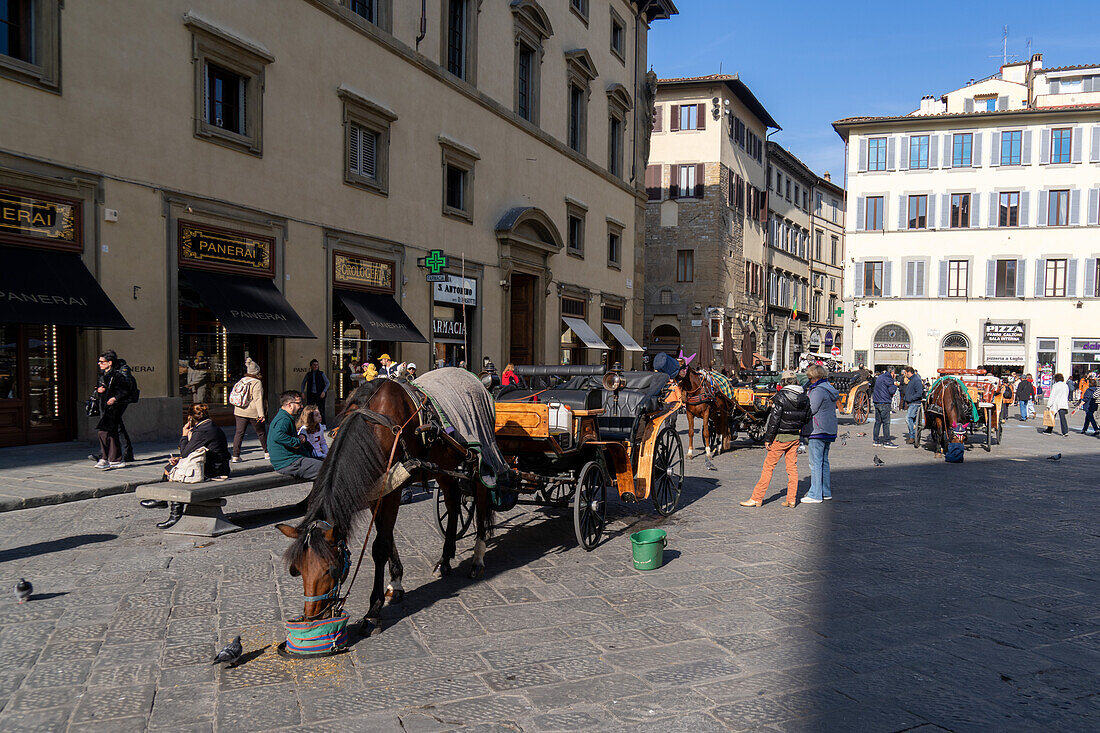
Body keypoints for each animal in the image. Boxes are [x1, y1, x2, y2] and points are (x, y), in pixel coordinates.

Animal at [277, 376, 497, 620]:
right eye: (297, 570)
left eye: (331, 569)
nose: (313, 617)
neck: (374, 429)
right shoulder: (375, 492)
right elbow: (388, 536)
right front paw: (396, 583)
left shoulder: (393, 490)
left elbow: (380, 546)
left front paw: (374, 609)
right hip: (443, 465)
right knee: (453, 502)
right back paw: (445, 559)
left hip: (478, 460)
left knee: (481, 502)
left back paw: (478, 558)